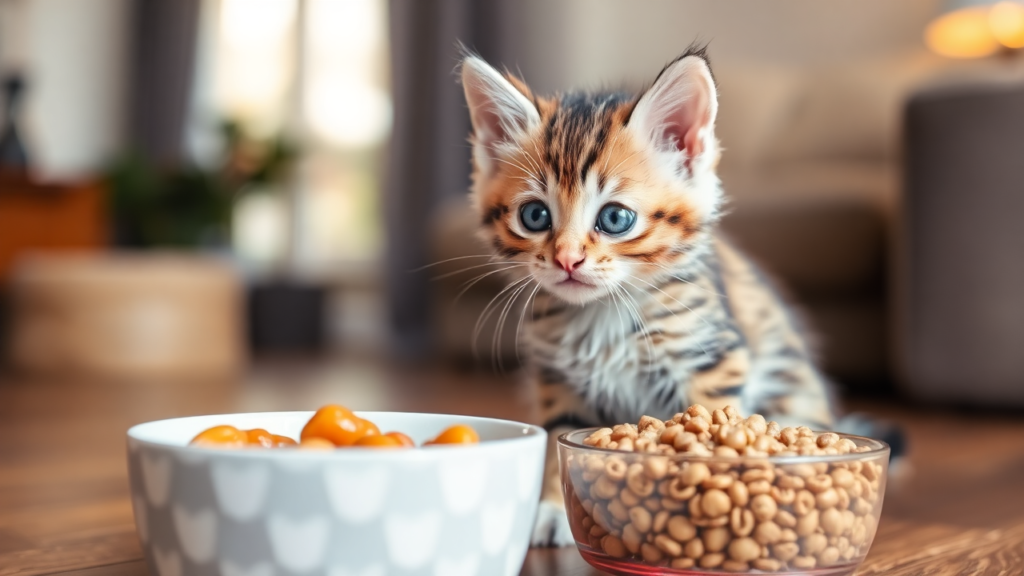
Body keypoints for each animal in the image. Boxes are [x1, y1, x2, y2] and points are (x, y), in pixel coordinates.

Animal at [460, 47, 835, 545]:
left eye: (615, 218)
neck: (602, 315)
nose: (567, 260)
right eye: (535, 215)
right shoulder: (558, 380)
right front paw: (557, 508)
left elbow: (709, 434)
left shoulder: (711, 361)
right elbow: (565, 441)